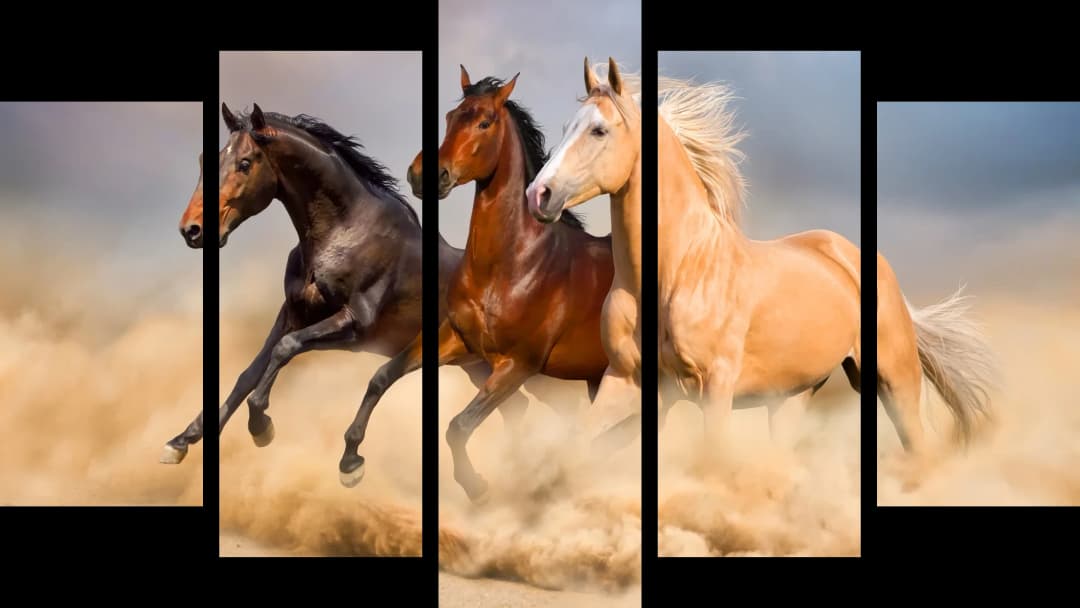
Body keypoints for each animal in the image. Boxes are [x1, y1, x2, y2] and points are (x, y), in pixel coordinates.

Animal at [162, 103, 535, 488]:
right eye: (207, 159)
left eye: (245, 163)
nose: (192, 230)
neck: (344, 232)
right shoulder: (293, 313)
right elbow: (249, 373)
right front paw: (182, 441)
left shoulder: (354, 325)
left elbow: (286, 349)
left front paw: (261, 427)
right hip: (477, 365)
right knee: (515, 408)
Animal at [381, 66, 615, 503]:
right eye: (450, 117)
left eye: (485, 122)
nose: (424, 175)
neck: (513, 265)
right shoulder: (458, 340)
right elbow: (389, 375)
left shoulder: (517, 365)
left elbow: (458, 426)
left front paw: (478, 488)